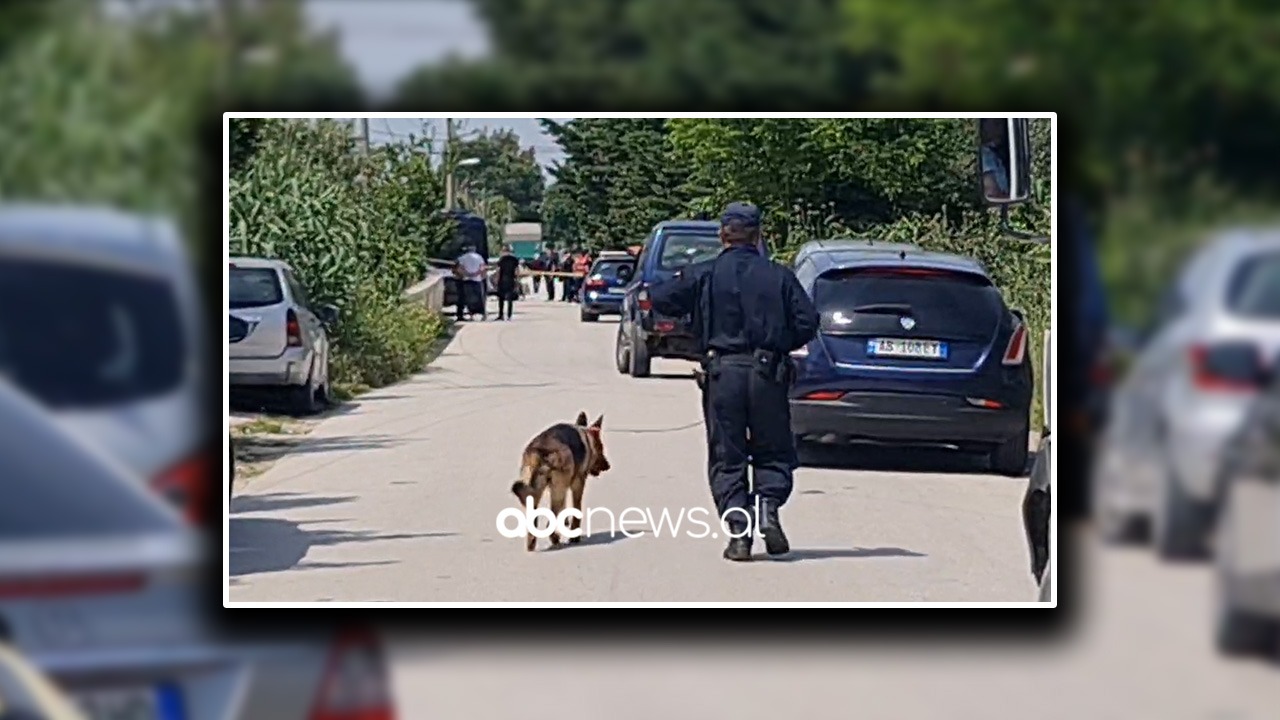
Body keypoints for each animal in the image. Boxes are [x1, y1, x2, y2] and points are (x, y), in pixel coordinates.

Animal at [509, 409, 609, 548]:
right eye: (601, 449)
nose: (608, 466)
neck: (586, 435)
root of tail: (541, 453)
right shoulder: (577, 484)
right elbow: (577, 510)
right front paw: (574, 536)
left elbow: (565, 509)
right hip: (557, 491)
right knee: (550, 520)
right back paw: (555, 539)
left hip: (535, 494)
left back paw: (532, 544)